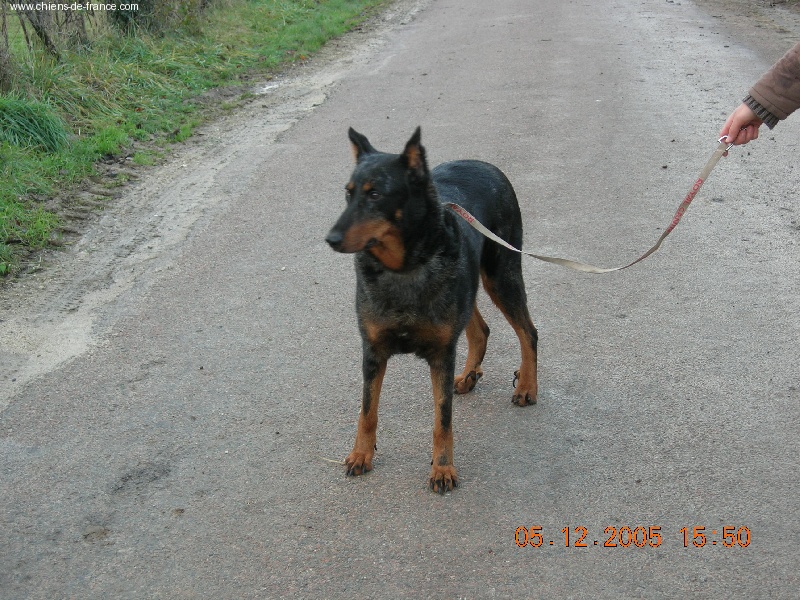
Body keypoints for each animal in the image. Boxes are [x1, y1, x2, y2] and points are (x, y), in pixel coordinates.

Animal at [324, 127, 536, 492]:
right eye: (348, 194)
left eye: (375, 194)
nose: (331, 238)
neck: (403, 268)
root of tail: (486, 165)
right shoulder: (373, 351)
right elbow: (367, 411)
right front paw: (361, 454)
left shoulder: (441, 353)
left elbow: (442, 419)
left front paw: (443, 467)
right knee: (481, 330)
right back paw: (469, 376)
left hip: (501, 275)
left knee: (528, 332)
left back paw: (526, 386)